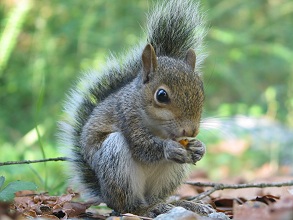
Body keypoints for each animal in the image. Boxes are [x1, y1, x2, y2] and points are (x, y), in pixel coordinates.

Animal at [58, 0, 211, 217]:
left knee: (157, 197)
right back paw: (149, 209)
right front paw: (168, 148)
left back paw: (182, 205)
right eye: (161, 95)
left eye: (201, 89)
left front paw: (199, 147)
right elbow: (142, 146)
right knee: (130, 206)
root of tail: (106, 195)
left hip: (170, 175)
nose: (191, 131)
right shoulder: (127, 116)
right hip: (116, 163)